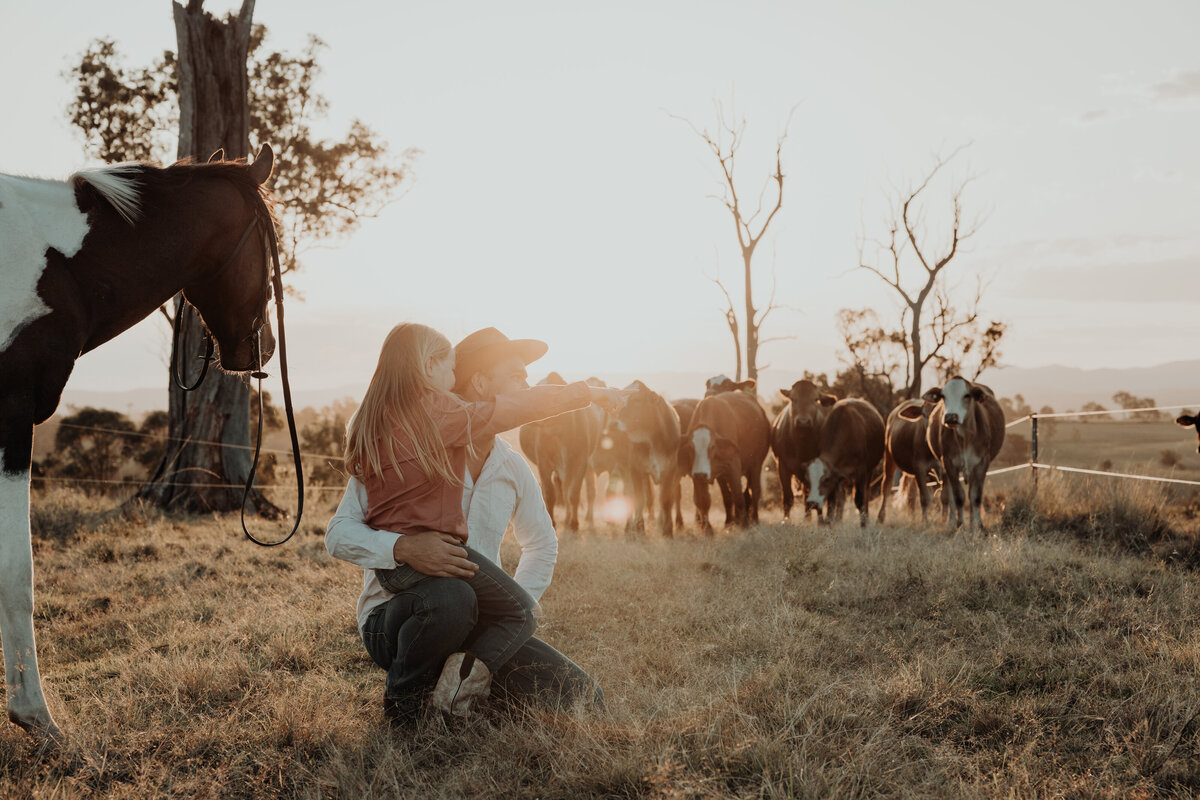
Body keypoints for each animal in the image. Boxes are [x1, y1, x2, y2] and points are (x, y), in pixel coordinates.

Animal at [1, 142, 276, 738]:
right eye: (271, 246)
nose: (264, 347)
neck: (57, 264)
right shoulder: (10, 420)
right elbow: (17, 569)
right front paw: (34, 715)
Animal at [614, 383, 681, 537]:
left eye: (637, 400)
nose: (615, 421)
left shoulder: (671, 469)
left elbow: (666, 500)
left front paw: (668, 531)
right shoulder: (635, 469)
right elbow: (639, 500)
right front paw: (640, 531)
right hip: (624, 469)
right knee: (629, 494)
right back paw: (628, 529)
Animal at [768, 381, 835, 525]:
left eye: (815, 399)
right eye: (793, 399)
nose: (803, 422)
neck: (801, 445)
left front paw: (819, 521)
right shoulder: (782, 466)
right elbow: (788, 497)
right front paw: (786, 521)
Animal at [902, 376, 1008, 532]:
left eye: (966, 395)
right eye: (943, 396)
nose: (951, 416)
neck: (965, 437)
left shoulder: (982, 463)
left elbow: (976, 497)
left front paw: (978, 526)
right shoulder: (949, 463)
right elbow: (958, 496)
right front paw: (959, 525)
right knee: (951, 496)